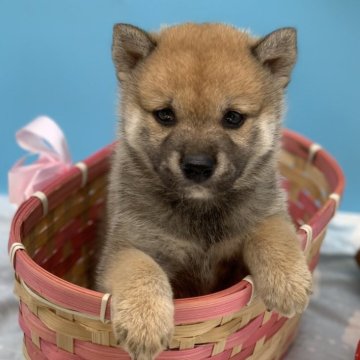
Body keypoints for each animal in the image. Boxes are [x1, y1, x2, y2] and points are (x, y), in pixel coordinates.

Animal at [95, 23, 312, 360]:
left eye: (233, 117)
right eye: (165, 115)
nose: (197, 166)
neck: (201, 212)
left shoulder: (265, 215)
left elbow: (273, 234)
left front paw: (288, 282)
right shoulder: (126, 247)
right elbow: (142, 270)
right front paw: (145, 323)